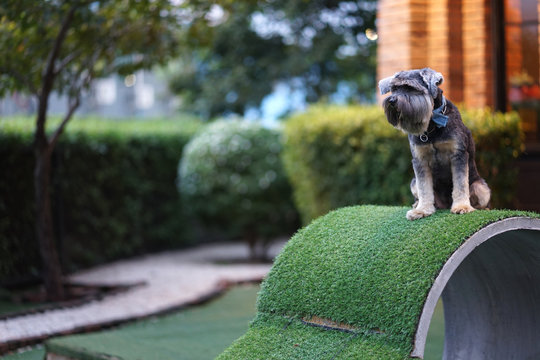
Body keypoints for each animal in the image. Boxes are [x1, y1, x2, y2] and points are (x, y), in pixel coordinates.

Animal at [378, 67, 492, 219]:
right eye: (394, 89)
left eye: (410, 87)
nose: (391, 100)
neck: (432, 125)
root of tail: (445, 204)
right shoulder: (420, 160)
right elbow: (424, 188)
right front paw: (422, 210)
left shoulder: (458, 155)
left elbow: (460, 184)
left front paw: (462, 207)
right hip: (413, 182)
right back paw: (418, 204)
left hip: (482, 188)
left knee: (481, 200)